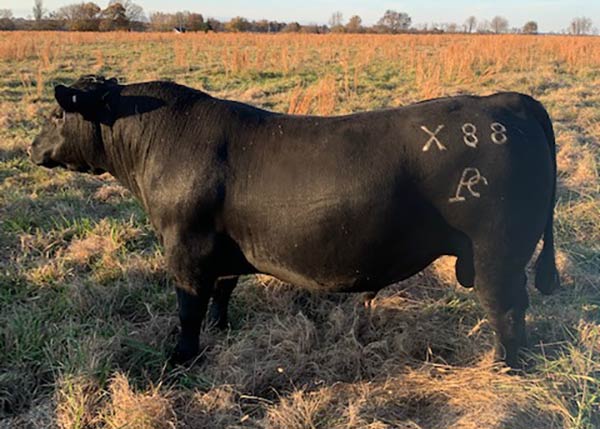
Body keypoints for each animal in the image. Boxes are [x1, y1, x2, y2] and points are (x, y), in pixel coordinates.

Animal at [31, 74, 556, 368]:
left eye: (57, 113)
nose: (32, 147)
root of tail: (504, 101)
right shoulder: (220, 249)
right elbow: (223, 290)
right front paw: (222, 329)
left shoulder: (185, 247)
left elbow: (188, 308)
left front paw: (180, 359)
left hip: (496, 252)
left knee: (507, 307)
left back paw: (507, 367)